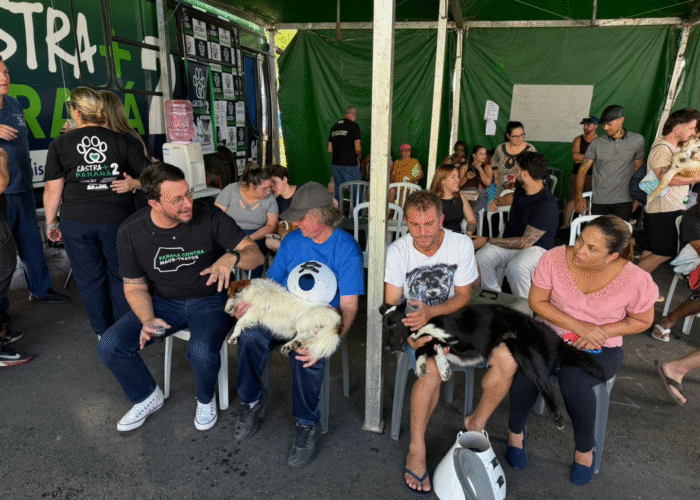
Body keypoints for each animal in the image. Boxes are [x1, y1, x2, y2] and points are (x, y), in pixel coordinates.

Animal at [380, 301, 606, 428]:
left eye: (393, 324)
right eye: (384, 326)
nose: (386, 348)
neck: (424, 325)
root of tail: (554, 337)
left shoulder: (470, 345)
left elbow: (438, 345)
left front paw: (442, 366)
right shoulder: (432, 343)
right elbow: (424, 348)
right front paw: (424, 366)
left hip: (530, 352)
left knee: (546, 384)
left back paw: (558, 417)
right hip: (521, 356)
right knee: (540, 382)